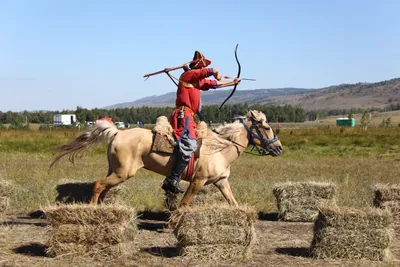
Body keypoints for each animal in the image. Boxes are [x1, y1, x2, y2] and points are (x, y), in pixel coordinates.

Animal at [50, 110, 282, 209]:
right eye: (266, 127)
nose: (279, 148)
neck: (220, 148)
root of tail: (116, 132)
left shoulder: (221, 182)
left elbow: (233, 203)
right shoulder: (197, 182)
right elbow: (184, 204)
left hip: (115, 172)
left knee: (103, 188)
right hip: (122, 173)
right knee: (98, 185)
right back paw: (92, 210)